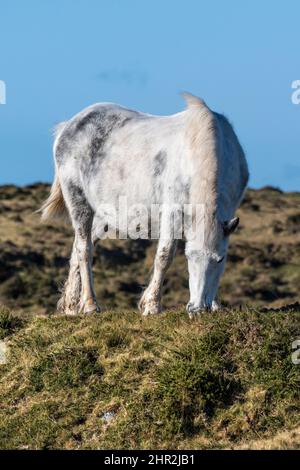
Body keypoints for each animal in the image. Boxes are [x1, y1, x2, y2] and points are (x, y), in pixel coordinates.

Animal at [41, 92, 250, 318]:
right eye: (189, 256)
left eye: (220, 260)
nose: (198, 309)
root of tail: (69, 125)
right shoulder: (172, 213)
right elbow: (164, 256)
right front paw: (152, 306)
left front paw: (216, 305)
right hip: (79, 203)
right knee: (83, 249)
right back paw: (89, 305)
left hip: (104, 217)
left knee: (76, 251)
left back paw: (71, 306)